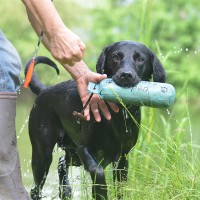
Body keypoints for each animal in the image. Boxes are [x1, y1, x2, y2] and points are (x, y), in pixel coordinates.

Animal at [26, 41, 166, 200]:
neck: (117, 114)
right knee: (36, 187)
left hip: (72, 153)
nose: (126, 75)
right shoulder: (84, 148)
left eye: (140, 59)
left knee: (62, 163)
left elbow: (120, 187)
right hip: (43, 153)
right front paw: (100, 192)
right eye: (115, 56)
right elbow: (98, 172)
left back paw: (66, 191)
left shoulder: (123, 156)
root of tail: (45, 90)